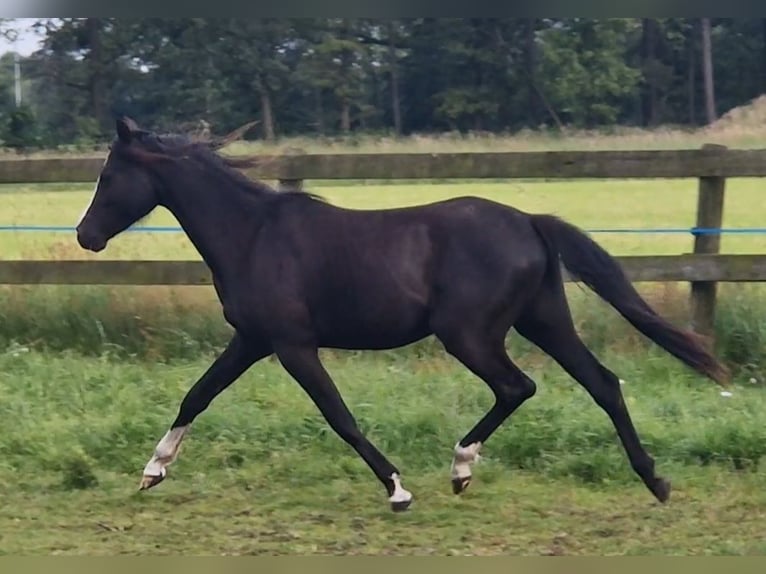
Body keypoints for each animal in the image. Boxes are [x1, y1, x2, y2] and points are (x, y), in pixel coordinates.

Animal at [75, 117, 728, 512]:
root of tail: (529, 221)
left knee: (518, 386)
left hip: (468, 334)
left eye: (108, 176)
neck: (253, 235)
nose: (85, 236)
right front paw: (153, 470)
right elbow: (197, 395)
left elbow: (340, 417)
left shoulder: (292, 345)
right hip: (543, 321)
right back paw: (655, 481)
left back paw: (462, 467)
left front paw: (397, 489)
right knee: (602, 383)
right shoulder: (253, 341)